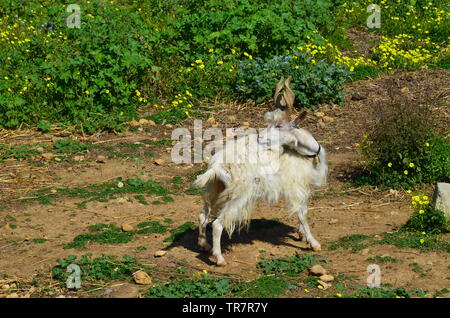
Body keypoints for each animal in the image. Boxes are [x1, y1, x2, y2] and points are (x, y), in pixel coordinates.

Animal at [193, 77, 326, 266]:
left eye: (279, 125)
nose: (260, 138)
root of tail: (216, 166)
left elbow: (302, 210)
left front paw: (301, 235)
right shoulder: (295, 186)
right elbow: (301, 213)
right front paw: (313, 243)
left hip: (214, 189)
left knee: (202, 216)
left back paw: (204, 245)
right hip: (239, 194)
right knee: (218, 223)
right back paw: (219, 258)